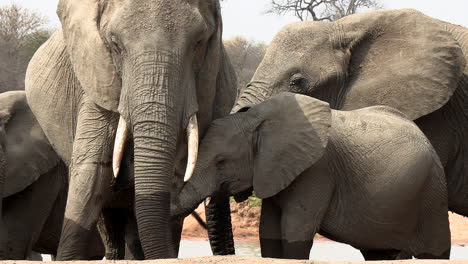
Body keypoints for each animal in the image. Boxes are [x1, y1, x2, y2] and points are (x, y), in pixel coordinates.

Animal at [173, 92, 450, 260]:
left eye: (221, 162)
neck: (255, 119)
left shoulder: (317, 171)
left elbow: (295, 229)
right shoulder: (274, 170)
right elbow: (269, 231)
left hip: (431, 191)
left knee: (435, 250)